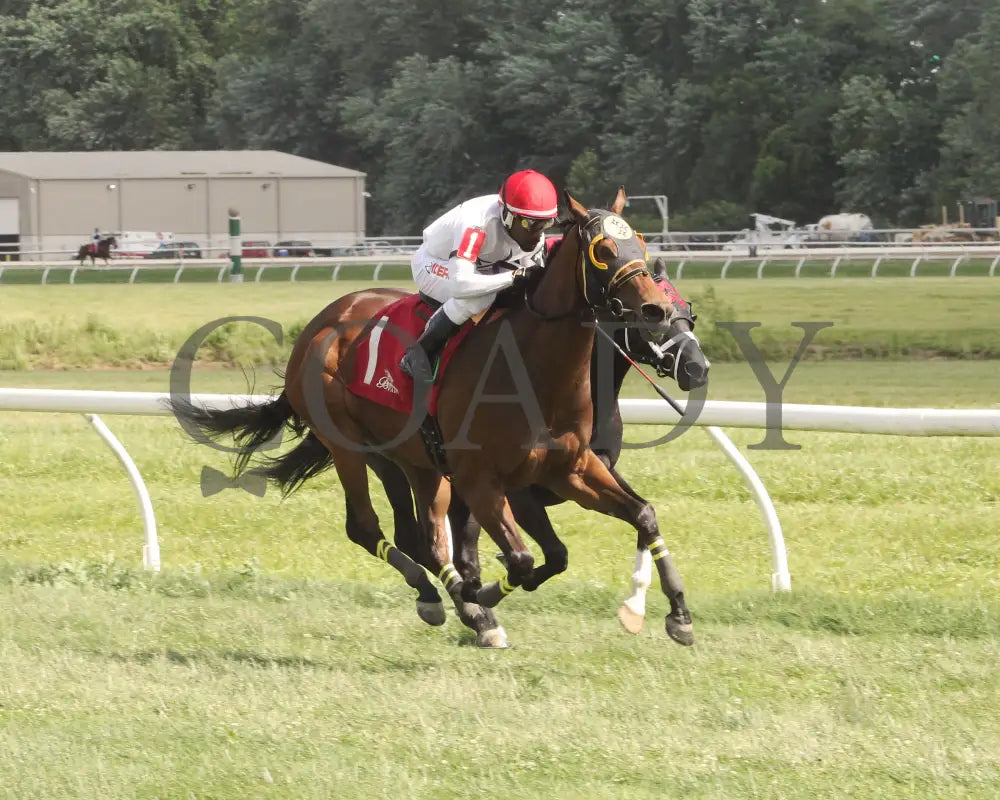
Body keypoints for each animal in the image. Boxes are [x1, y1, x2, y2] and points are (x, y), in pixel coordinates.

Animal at [172, 191, 700, 648]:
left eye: (644, 245)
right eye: (604, 251)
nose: (655, 309)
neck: (533, 369)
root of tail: (319, 325)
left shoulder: (569, 469)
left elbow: (636, 518)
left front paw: (676, 613)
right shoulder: (485, 481)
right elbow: (522, 558)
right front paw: (480, 597)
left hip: (408, 459)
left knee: (419, 534)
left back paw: (453, 602)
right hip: (348, 447)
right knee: (366, 528)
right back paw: (449, 601)